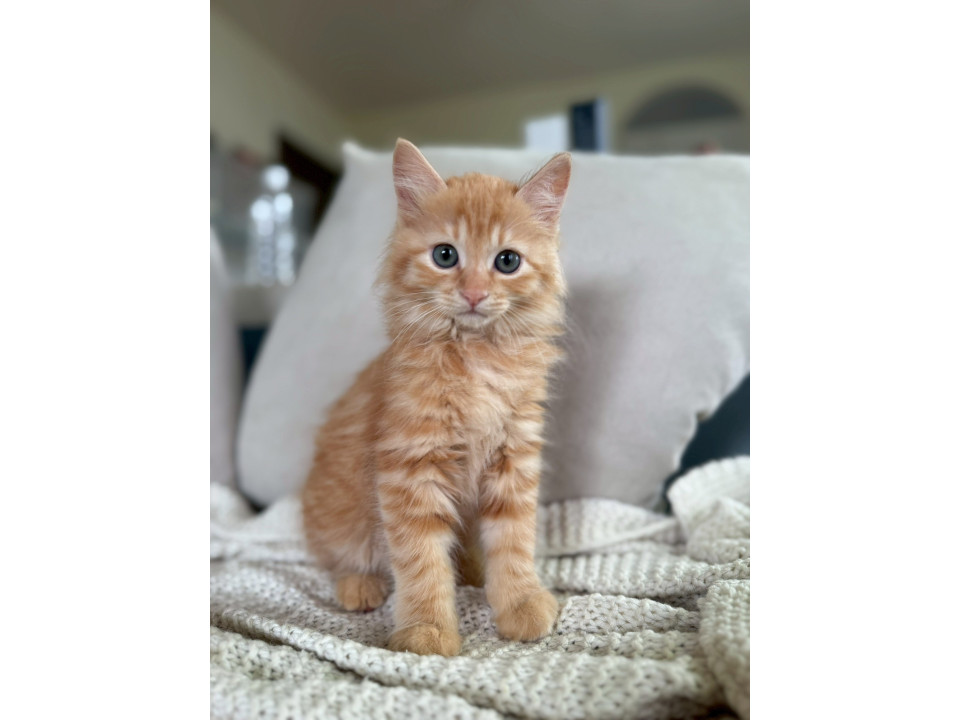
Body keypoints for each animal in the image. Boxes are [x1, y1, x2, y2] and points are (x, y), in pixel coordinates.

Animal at [301, 139, 571, 657]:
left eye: (507, 261)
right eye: (445, 255)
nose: (474, 293)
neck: (476, 357)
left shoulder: (515, 455)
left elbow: (513, 539)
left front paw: (519, 599)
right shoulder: (410, 466)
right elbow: (421, 559)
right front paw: (426, 630)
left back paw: (474, 570)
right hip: (341, 517)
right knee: (340, 555)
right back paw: (359, 583)